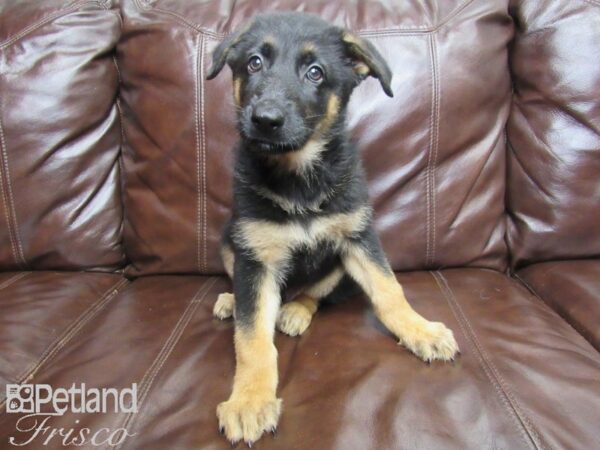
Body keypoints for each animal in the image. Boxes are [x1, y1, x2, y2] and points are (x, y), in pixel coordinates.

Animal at [206, 11, 460, 446]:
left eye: (315, 72)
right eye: (254, 63)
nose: (265, 120)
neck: (299, 177)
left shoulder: (358, 238)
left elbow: (390, 291)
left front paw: (420, 330)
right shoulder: (254, 257)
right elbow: (252, 338)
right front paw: (250, 401)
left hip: (338, 267)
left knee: (313, 294)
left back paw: (295, 311)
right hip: (228, 239)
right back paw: (229, 299)